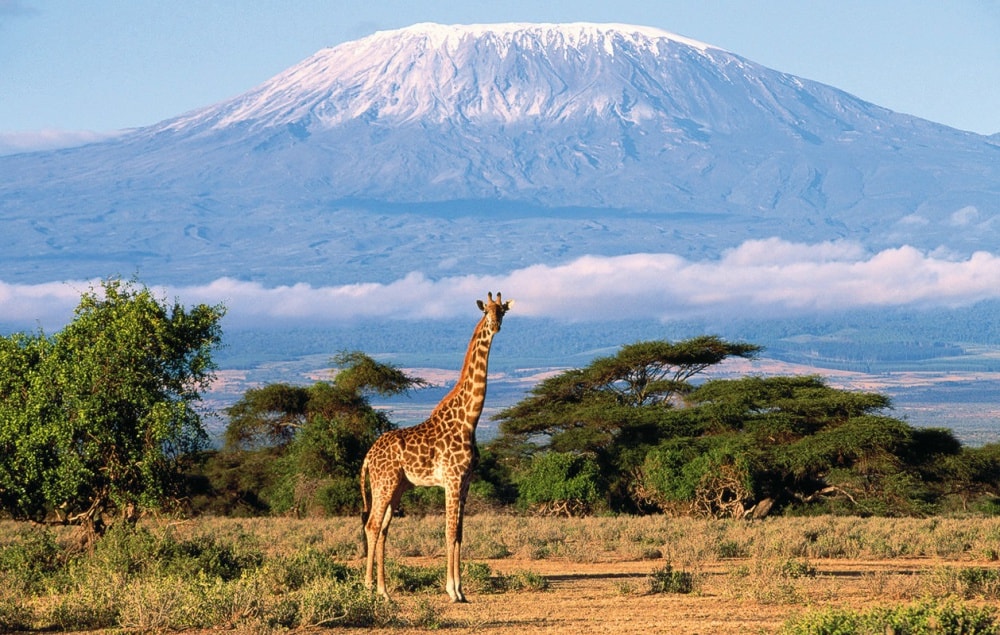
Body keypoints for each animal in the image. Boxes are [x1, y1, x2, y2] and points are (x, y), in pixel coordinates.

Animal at [362, 292, 516, 600]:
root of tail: (368, 456)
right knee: (371, 525)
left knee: (383, 529)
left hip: (397, 487)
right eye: (487, 311)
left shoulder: (466, 481)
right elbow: (448, 532)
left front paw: (462, 591)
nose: (495, 326)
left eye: (503, 311)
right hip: (384, 483)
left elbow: (459, 534)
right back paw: (371, 588)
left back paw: (383, 590)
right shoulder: (452, 479)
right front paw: (452, 591)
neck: (469, 420)